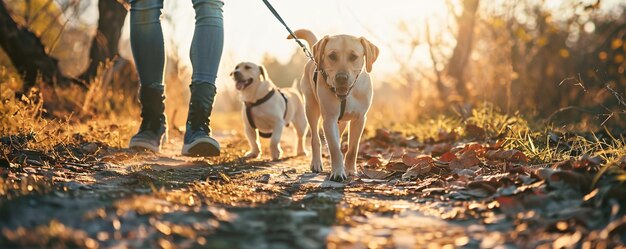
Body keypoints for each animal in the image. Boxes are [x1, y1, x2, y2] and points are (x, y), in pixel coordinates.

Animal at [288, 29, 380, 182]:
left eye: (353, 56)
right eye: (332, 56)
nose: (341, 78)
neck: (347, 95)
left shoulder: (360, 119)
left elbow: (353, 148)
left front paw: (350, 170)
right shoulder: (329, 120)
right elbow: (334, 148)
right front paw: (338, 172)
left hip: (341, 122)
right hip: (311, 109)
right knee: (315, 139)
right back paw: (316, 163)